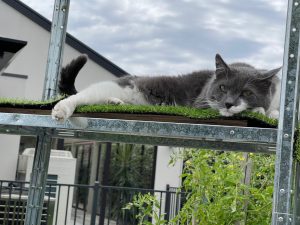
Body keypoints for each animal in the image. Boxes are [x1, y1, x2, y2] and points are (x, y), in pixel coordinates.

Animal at [52, 53, 282, 121]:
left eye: (246, 92)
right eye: (223, 88)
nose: (228, 104)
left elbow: (275, 111)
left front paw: (272, 113)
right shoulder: (200, 103)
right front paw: (260, 110)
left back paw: (114, 102)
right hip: (114, 86)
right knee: (80, 97)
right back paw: (62, 109)